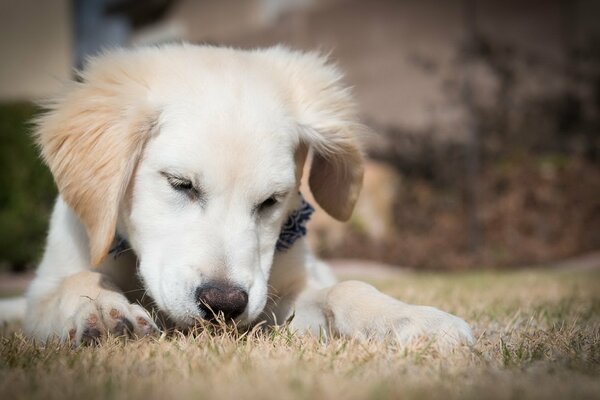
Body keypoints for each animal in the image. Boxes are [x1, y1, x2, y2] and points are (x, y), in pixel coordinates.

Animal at [18, 44, 474, 346]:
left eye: (271, 200)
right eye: (179, 183)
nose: (223, 304)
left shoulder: (280, 295)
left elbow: (346, 288)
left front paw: (407, 318)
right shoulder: (43, 289)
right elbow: (73, 280)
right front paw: (100, 309)